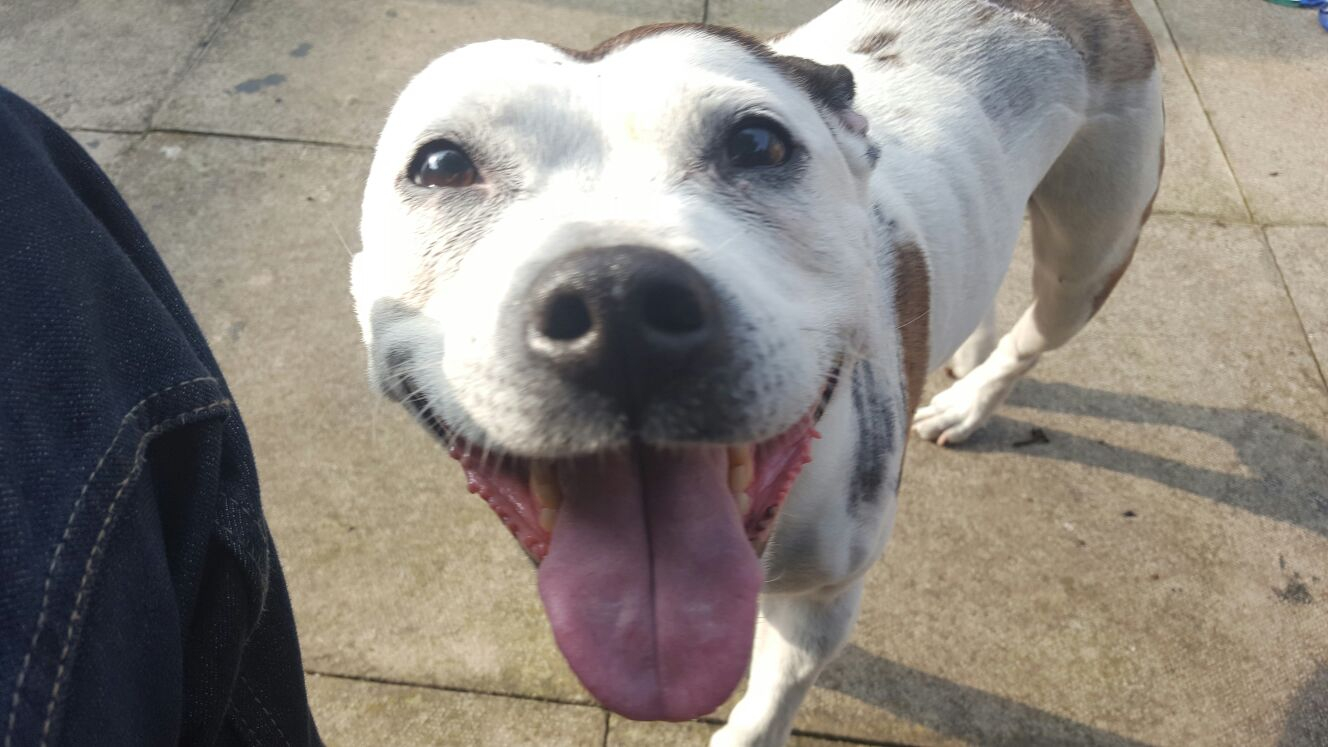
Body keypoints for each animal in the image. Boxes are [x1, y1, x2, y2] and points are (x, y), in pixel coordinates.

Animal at [350, 0, 1162, 743]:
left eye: (757, 142)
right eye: (441, 164)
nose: (619, 304)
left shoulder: (823, 601)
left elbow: (774, 696)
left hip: (1090, 255)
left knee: (1036, 332)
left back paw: (970, 401)